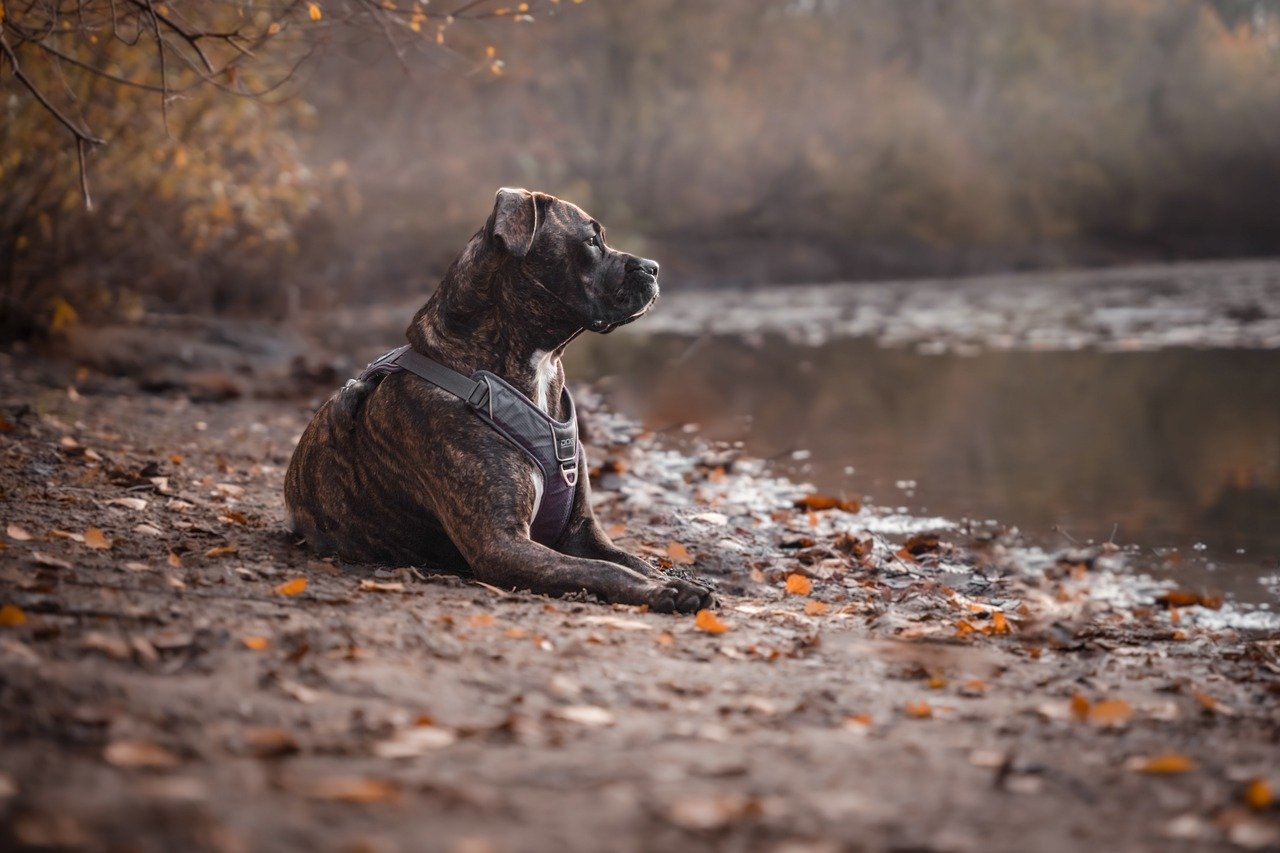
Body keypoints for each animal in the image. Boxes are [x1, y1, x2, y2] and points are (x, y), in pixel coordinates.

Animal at [284, 186, 716, 612]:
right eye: (592, 241)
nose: (654, 267)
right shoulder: (500, 543)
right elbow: (603, 570)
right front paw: (661, 591)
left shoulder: (582, 533)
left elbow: (632, 560)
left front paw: (674, 581)